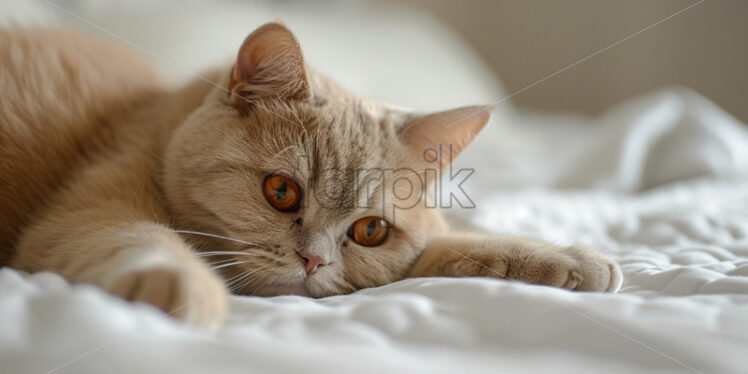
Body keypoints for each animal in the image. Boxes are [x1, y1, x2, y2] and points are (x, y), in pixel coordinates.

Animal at [0, 23, 624, 328]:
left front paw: (566, 260)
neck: (154, 123)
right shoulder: (83, 212)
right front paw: (178, 283)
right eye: (281, 192)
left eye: (370, 231)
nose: (314, 261)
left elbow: (447, 247)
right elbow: (134, 235)